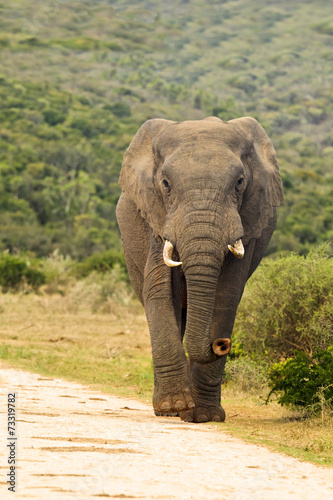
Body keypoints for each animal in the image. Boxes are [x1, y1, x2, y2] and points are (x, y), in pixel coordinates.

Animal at [116, 116, 282, 422]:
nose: (222, 343)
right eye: (165, 184)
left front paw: (204, 415)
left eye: (240, 183)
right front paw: (174, 407)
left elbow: (227, 295)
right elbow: (159, 290)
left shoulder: (248, 224)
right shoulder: (158, 216)